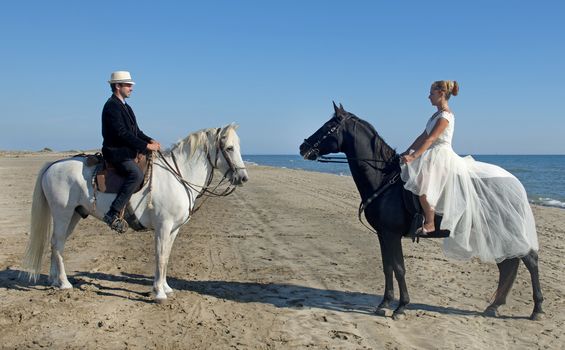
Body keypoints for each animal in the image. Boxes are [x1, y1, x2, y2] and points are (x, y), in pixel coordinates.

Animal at [22, 123, 247, 300]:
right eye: (229, 148)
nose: (243, 178)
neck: (178, 176)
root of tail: (53, 164)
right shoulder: (163, 227)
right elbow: (160, 256)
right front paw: (159, 293)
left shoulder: (174, 229)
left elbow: (166, 256)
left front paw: (166, 287)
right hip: (63, 214)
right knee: (58, 243)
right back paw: (64, 283)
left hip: (75, 215)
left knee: (56, 244)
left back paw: (54, 281)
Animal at [300, 103, 540, 320]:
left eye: (329, 126)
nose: (303, 147)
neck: (384, 179)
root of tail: (514, 184)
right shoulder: (382, 235)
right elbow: (387, 267)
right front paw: (385, 303)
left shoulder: (392, 234)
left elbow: (399, 268)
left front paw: (401, 307)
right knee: (508, 265)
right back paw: (494, 307)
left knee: (529, 261)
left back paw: (536, 309)